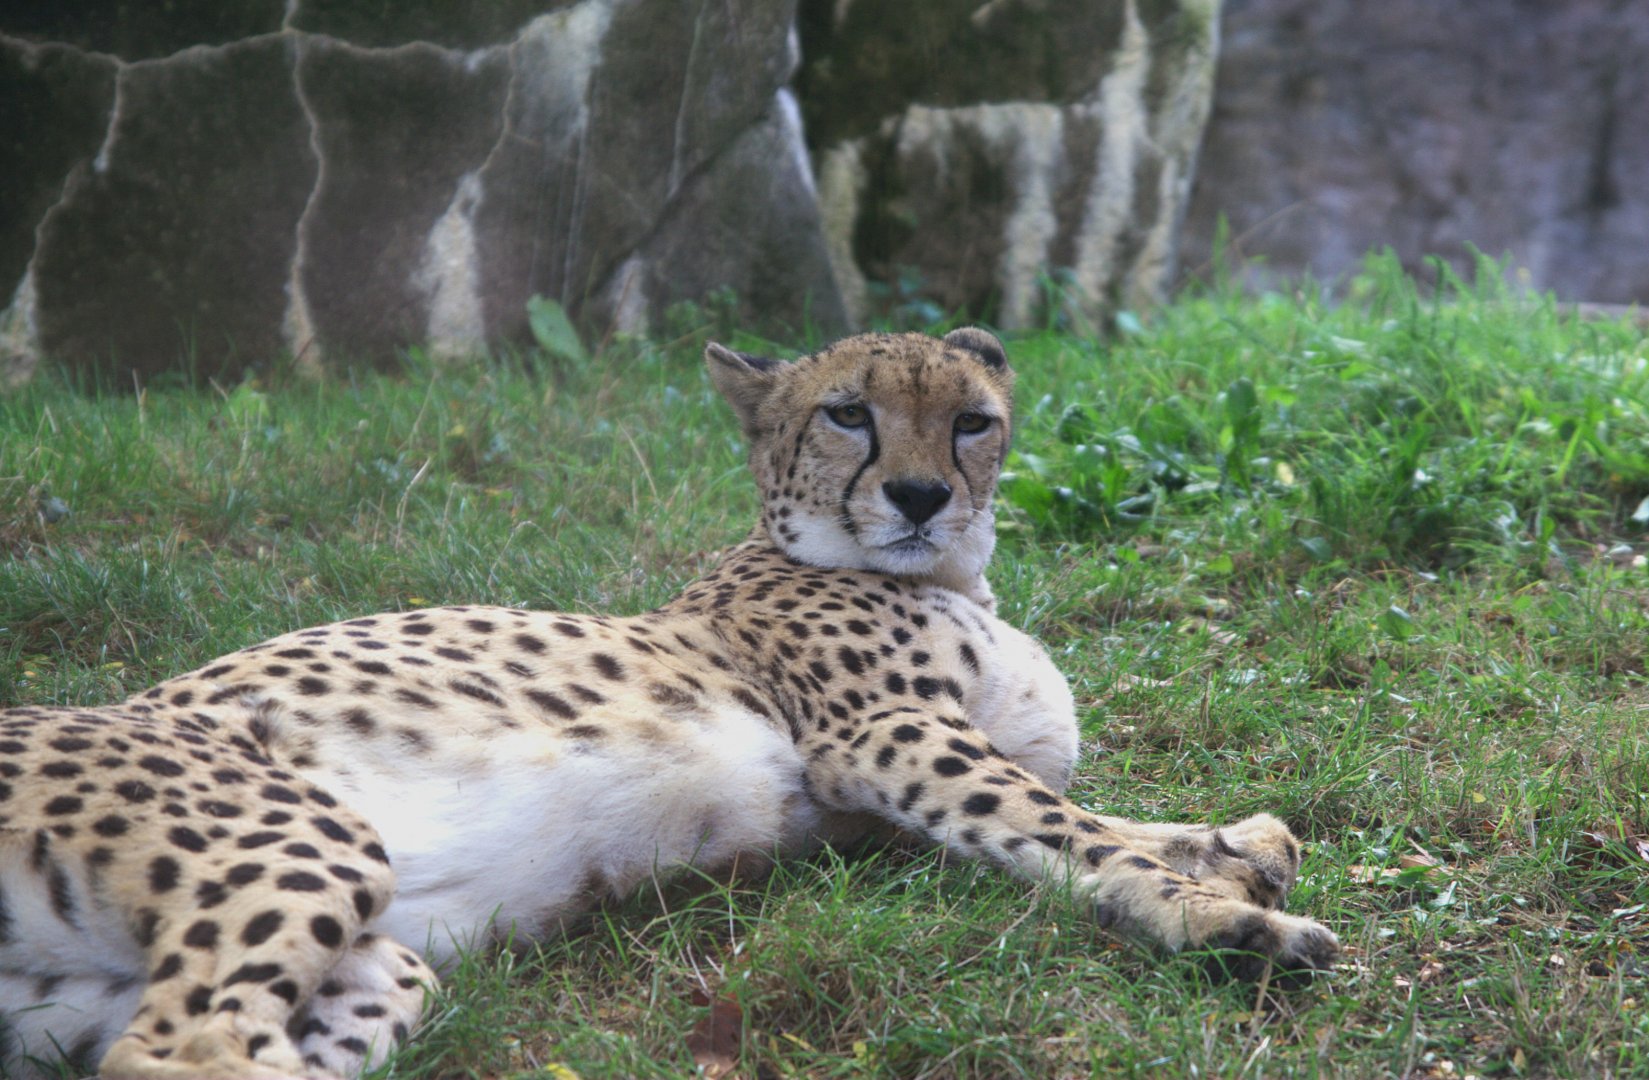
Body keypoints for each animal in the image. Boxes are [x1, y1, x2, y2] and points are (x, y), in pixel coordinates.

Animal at [0, 328, 1339, 1079]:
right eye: (847, 412)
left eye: (971, 423)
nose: (916, 495)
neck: (949, 574)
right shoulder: (879, 738)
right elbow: (1066, 828)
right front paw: (1217, 916)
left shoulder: (890, 814)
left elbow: (1093, 818)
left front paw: (1234, 848)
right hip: (305, 835)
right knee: (179, 1052)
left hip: (346, 964)